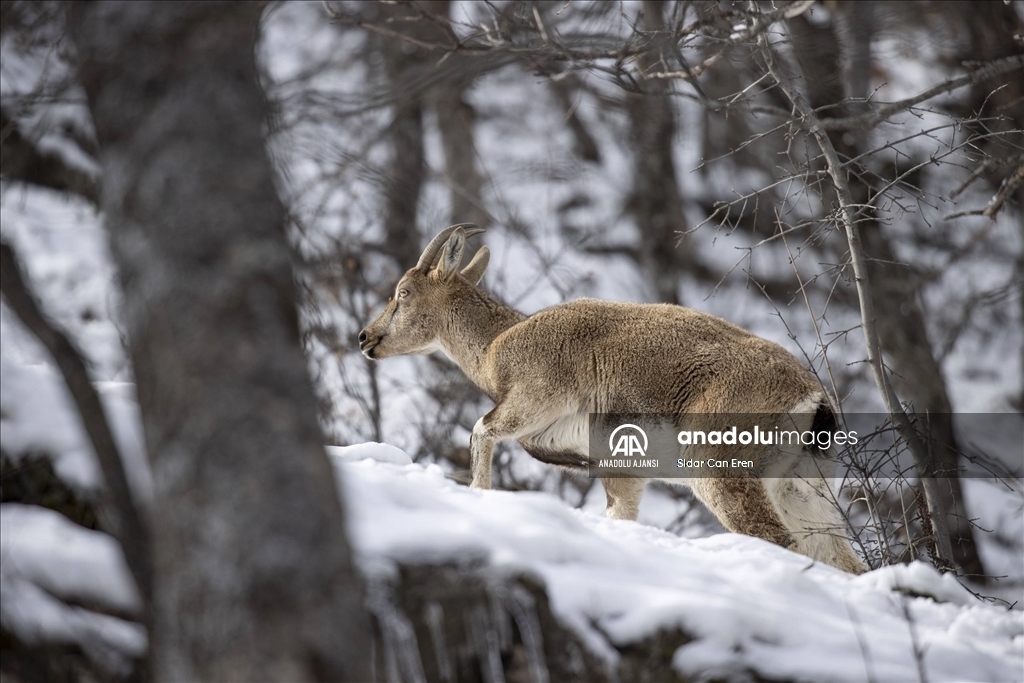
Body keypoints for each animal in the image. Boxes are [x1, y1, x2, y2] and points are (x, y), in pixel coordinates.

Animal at [358, 224, 864, 573]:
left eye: (403, 292)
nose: (365, 337)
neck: (498, 346)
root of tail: (812, 400)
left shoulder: (536, 398)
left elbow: (481, 431)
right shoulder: (623, 470)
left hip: (722, 472)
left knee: (779, 540)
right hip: (801, 486)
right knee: (842, 559)